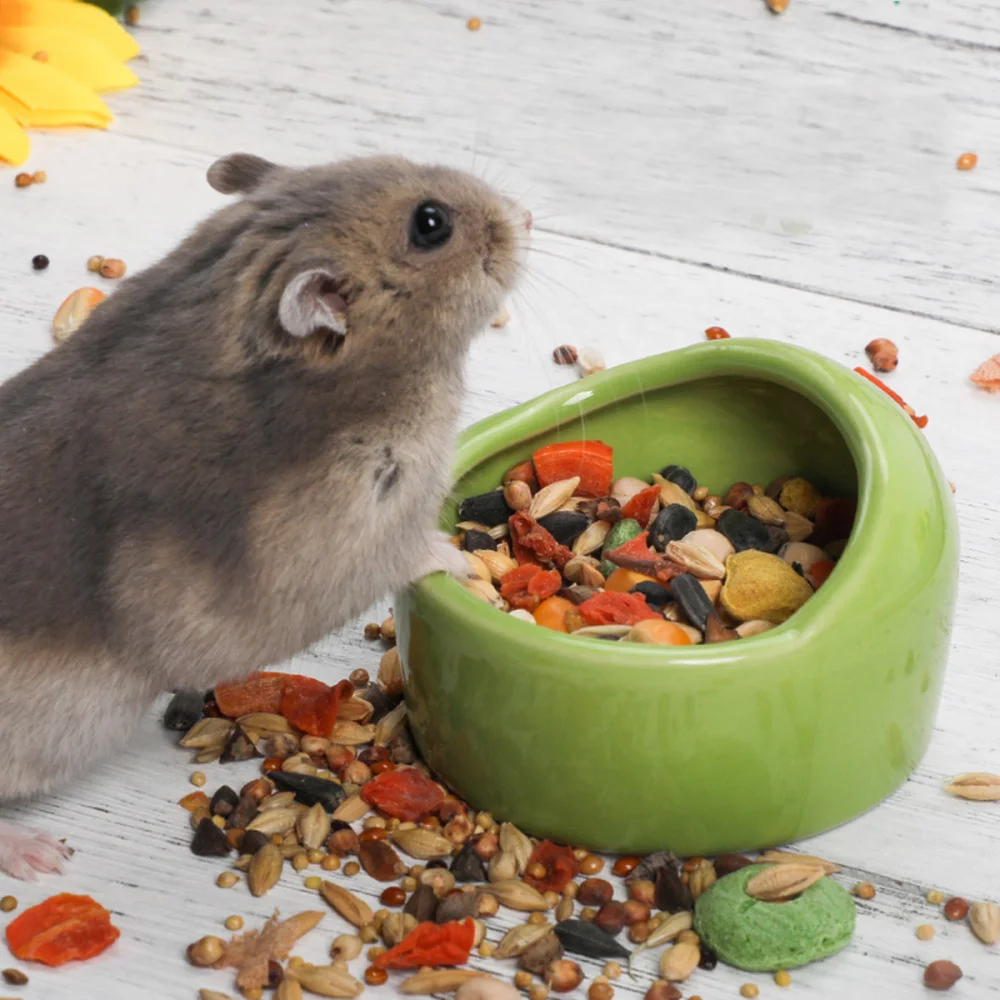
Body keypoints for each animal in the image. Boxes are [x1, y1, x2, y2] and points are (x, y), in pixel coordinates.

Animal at [0, 153, 529, 879]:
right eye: (431, 225)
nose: (526, 217)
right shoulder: (335, 539)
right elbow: (405, 552)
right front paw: (461, 560)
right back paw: (43, 856)